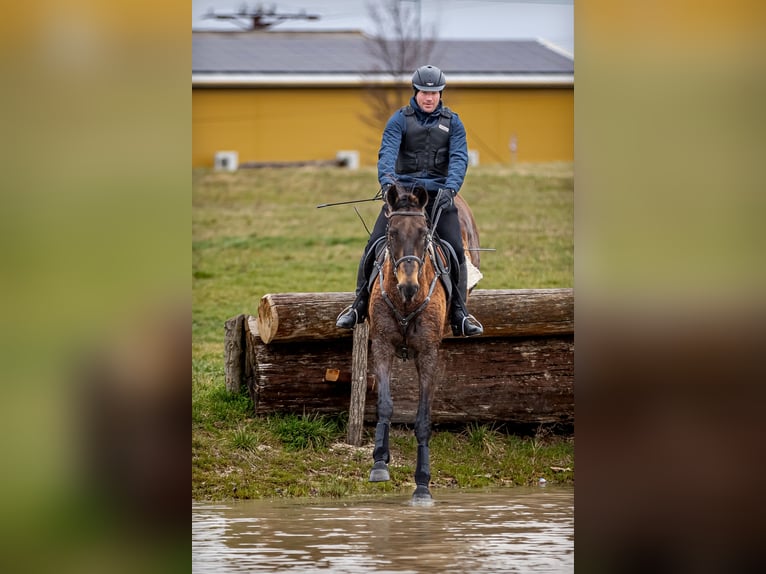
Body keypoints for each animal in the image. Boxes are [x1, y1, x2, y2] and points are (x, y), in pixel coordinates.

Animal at [368, 184, 484, 504]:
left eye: (423, 234)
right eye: (392, 232)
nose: (409, 286)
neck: (406, 303)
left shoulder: (428, 353)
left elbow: (422, 419)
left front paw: (422, 485)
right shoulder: (382, 345)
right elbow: (385, 404)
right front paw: (379, 462)